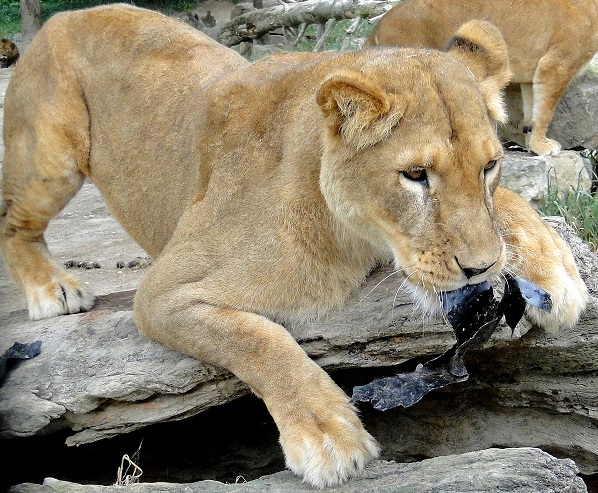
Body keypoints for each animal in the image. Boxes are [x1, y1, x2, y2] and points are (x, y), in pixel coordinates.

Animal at [366, 0, 598, 156]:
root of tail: (380, 24)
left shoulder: (532, 76)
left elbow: (532, 113)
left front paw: (531, 143)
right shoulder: (556, 66)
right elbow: (545, 113)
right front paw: (542, 146)